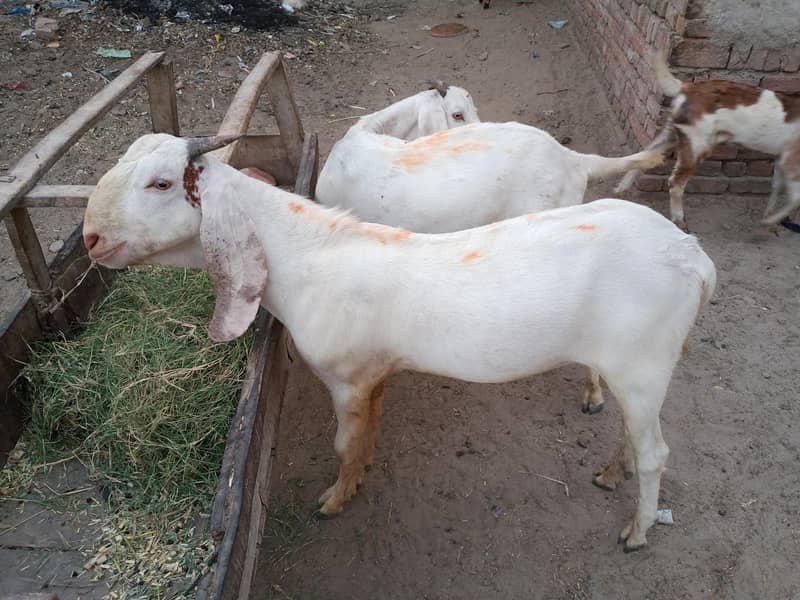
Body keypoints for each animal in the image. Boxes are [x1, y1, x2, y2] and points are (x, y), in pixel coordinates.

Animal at [615, 52, 800, 231]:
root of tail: (688, 88)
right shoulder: (791, 159)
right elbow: (796, 197)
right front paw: (771, 221)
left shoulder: (781, 158)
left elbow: (777, 187)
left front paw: (769, 219)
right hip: (698, 145)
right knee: (675, 183)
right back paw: (679, 220)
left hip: (673, 134)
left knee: (643, 155)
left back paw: (620, 190)